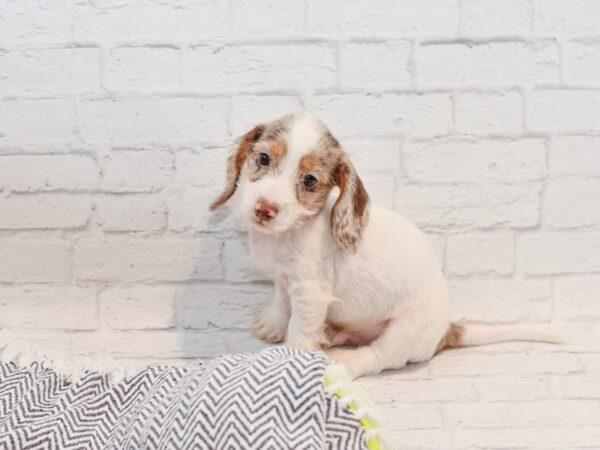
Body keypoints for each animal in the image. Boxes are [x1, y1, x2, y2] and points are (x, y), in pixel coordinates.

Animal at [210, 114, 564, 378]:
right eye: (263, 158)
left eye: (309, 180)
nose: (264, 209)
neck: (290, 232)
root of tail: (447, 330)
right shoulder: (286, 280)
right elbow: (282, 303)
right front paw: (271, 325)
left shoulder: (310, 294)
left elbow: (299, 329)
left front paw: (287, 364)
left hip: (404, 331)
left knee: (378, 356)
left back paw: (345, 361)